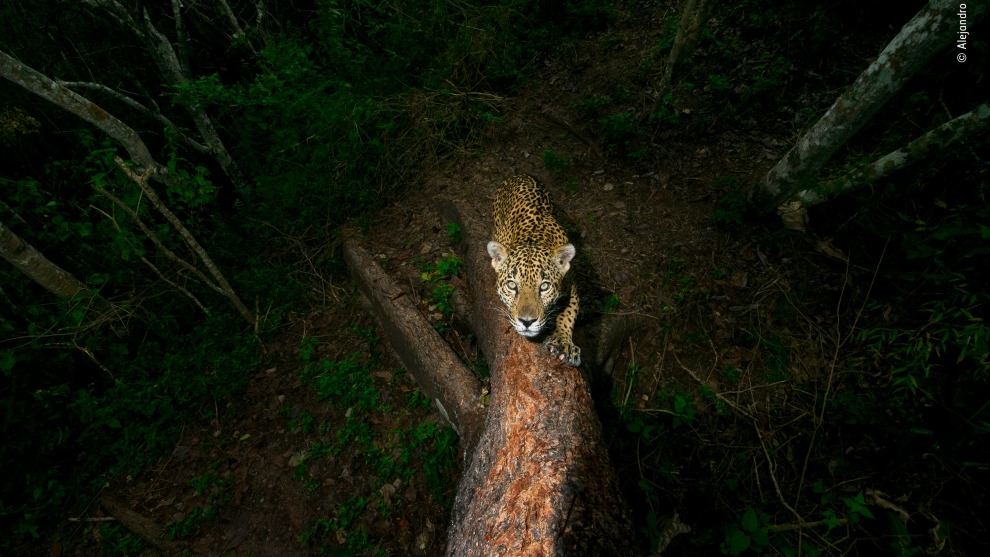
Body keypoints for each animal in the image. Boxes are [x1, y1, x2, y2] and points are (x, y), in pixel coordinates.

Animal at [487, 174, 581, 367]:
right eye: (511, 285)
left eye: (544, 287)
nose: (527, 322)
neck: (534, 238)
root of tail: (519, 175)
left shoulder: (572, 285)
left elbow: (568, 313)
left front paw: (564, 343)